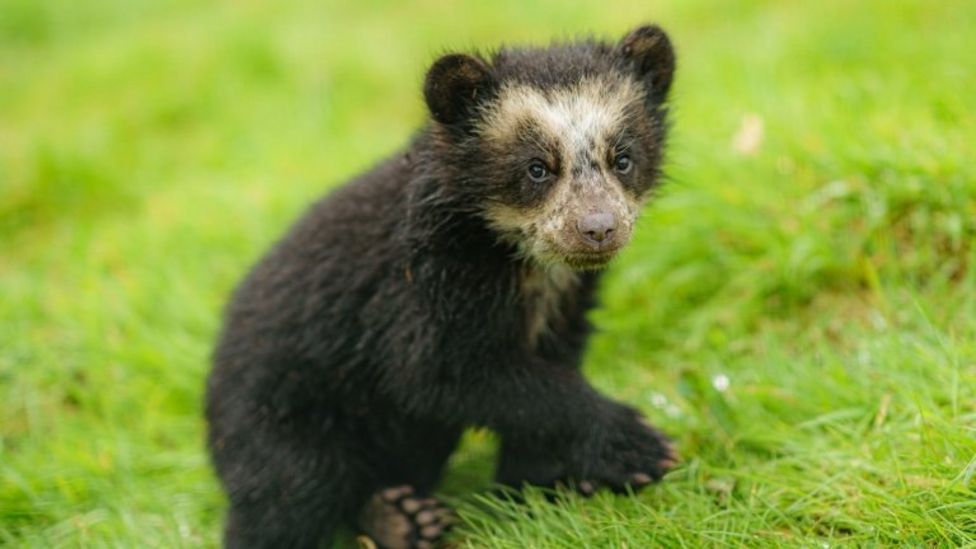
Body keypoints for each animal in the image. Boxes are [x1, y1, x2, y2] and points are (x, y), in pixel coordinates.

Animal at [206, 24, 678, 549]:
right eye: (536, 168)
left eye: (623, 159)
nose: (598, 229)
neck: (522, 264)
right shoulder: (422, 289)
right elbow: (440, 373)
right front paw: (638, 448)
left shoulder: (565, 304)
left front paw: (545, 484)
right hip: (276, 412)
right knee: (288, 492)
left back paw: (402, 517)